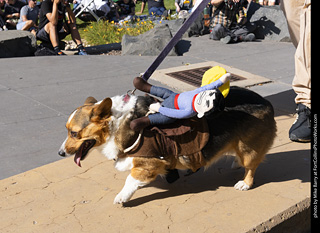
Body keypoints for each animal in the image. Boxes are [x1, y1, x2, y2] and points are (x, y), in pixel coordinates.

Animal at [58, 86, 276, 203]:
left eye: (74, 133)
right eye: (67, 130)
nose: (60, 153)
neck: (118, 123)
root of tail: (266, 102)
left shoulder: (147, 164)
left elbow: (130, 180)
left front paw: (122, 197)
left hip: (248, 148)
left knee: (251, 167)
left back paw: (244, 183)